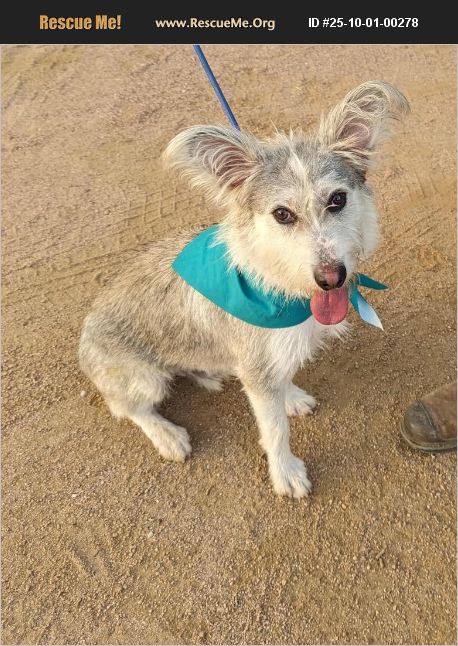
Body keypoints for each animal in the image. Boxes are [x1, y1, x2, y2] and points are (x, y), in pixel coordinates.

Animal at [79, 81, 409, 498]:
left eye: (338, 199)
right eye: (282, 214)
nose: (331, 277)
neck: (276, 282)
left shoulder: (269, 362)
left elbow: (282, 383)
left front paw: (292, 397)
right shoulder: (257, 371)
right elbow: (275, 430)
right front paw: (286, 473)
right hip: (143, 378)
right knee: (127, 408)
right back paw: (166, 433)